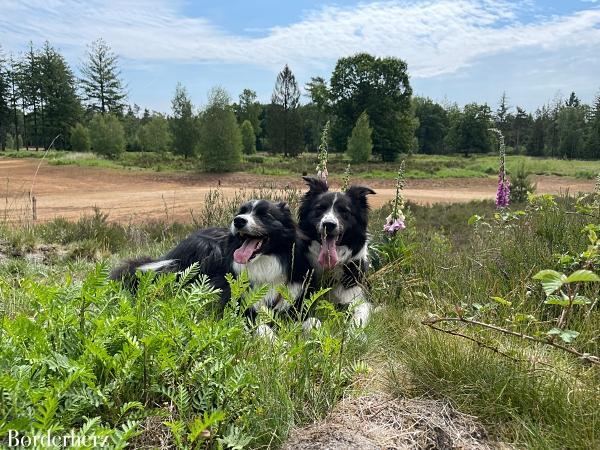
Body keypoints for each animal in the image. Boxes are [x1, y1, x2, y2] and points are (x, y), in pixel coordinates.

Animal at [109, 199, 312, 318]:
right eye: (241, 211)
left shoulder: (296, 300)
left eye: (265, 214)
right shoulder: (240, 303)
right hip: (207, 248)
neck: (266, 261)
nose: (238, 220)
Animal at [298, 176, 378, 326]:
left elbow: (358, 318)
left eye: (344, 211)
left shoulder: (359, 299)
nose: (328, 224)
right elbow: (311, 318)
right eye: (320, 208)